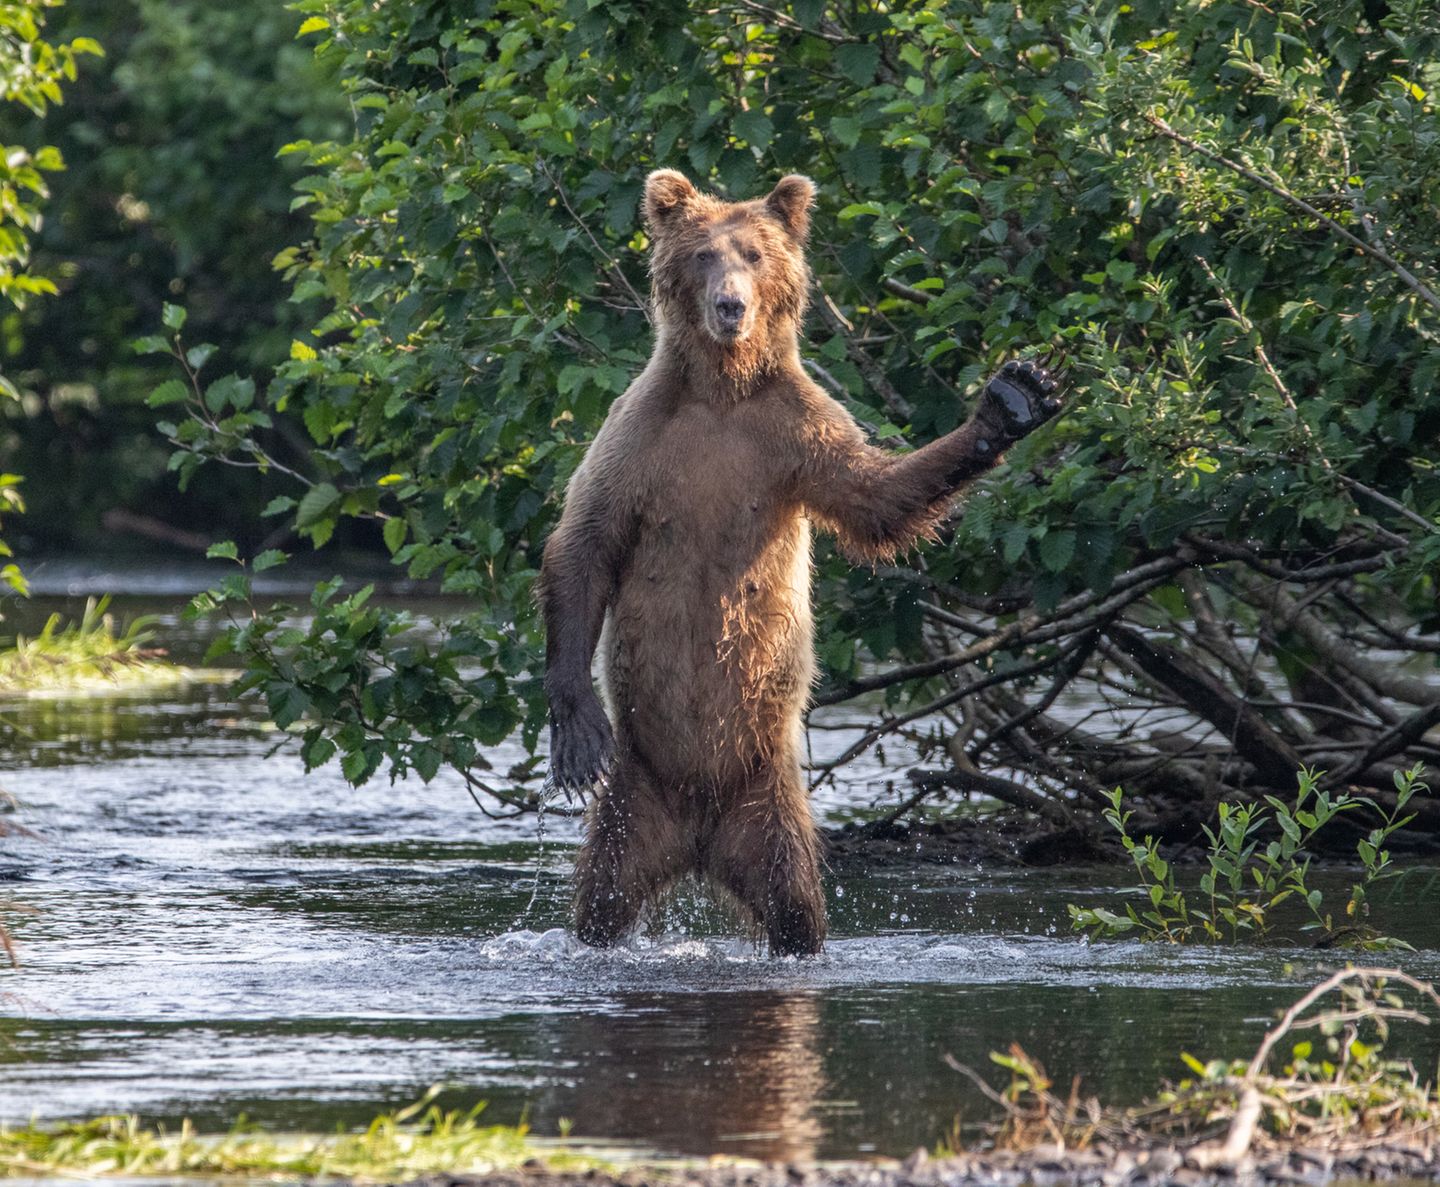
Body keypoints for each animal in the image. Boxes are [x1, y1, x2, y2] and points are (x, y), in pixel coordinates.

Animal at [538, 171, 1059, 956]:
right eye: (703, 254)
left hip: (769, 798)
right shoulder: (639, 438)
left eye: (754, 254)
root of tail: (697, 835)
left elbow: (875, 498)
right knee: (602, 896)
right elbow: (585, 544)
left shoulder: (794, 432)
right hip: (637, 792)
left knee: (793, 903)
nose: (730, 304)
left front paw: (1012, 400)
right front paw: (576, 735)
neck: (722, 392)